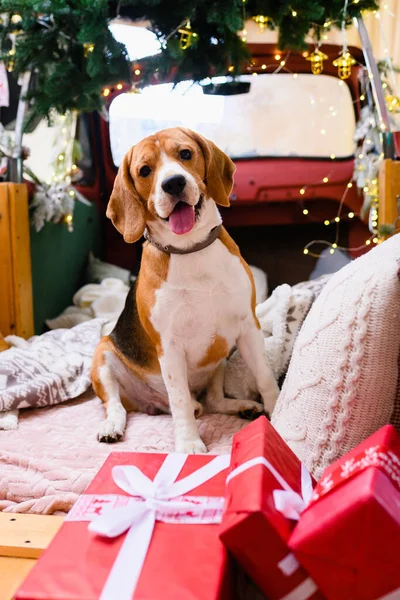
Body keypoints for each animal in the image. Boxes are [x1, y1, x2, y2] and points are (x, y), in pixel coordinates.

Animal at [91, 127, 278, 454]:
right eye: (144, 170)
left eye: (185, 154)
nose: (173, 183)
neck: (191, 251)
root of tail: (152, 404)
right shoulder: (170, 347)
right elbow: (178, 399)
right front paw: (189, 443)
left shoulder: (248, 327)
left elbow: (265, 375)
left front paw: (277, 408)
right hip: (103, 356)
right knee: (118, 405)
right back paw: (112, 426)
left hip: (220, 357)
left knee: (213, 401)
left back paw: (240, 406)